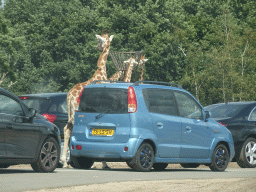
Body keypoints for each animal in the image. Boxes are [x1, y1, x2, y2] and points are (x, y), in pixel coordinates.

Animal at [60, 33, 113, 168]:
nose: (96, 47)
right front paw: (103, 162)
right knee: (71, 131)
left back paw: (65, 162)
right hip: (75, 114)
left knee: (66, 129)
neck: (101, 71)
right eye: (99, 41)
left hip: (70, 113)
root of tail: (69, 96)